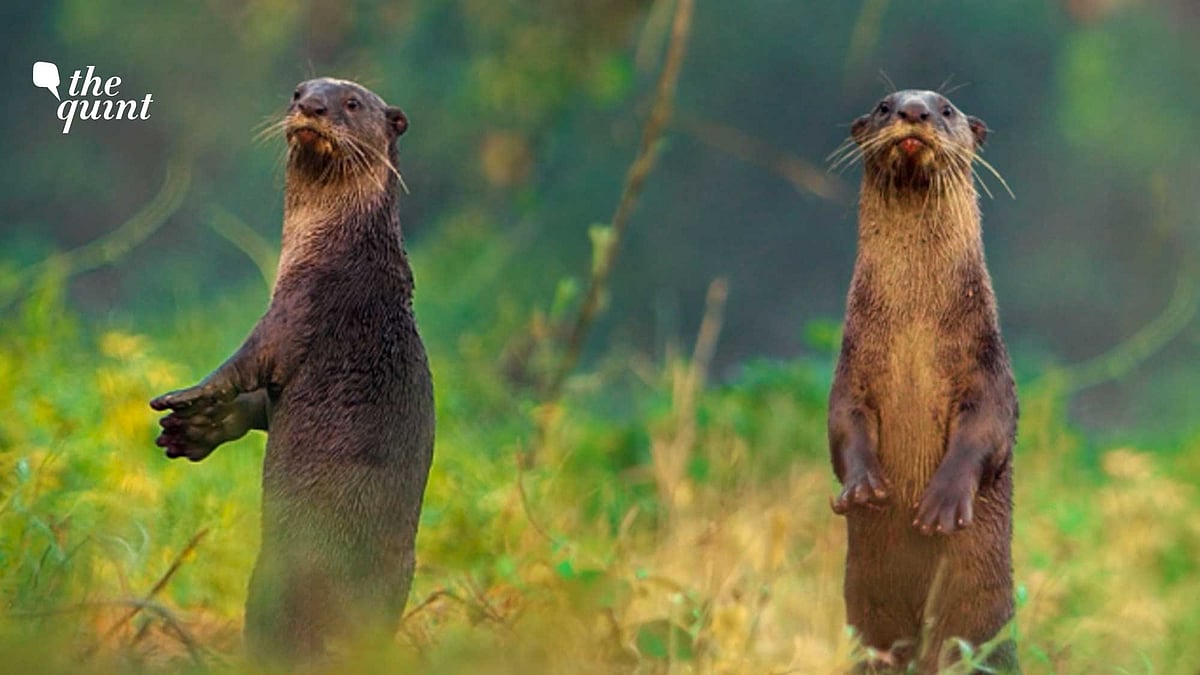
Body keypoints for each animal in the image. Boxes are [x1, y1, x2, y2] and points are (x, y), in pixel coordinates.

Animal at [149, 78, 434, 661]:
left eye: (352, 103)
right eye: (298, 91)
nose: (312, 106)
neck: (345, 252)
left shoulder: (297, 309)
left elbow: (243, 363)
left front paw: (186, 397)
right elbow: (257, 403)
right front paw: (197, 429)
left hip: (270, 579)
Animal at [827, 90, 1018, 673]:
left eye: (947, 108)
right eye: (883, 106)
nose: (914, 110)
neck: (914, 324)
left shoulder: (989, 370)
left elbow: (986, 433)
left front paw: (941, 505)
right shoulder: (851, 371)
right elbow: (842, 426)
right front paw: (863, 488)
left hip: (975, 625)